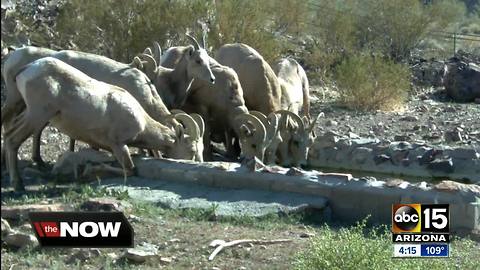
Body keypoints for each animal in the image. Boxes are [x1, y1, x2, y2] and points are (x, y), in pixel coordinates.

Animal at [5, 57, 204, 191]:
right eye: (192, 149)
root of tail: (28, 68)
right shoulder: (119, 145)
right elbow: (130, 170)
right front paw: (88, 170)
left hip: (30, 114)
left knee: (8, 135)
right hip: (37, 115)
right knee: (13, 140)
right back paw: (18, 185)